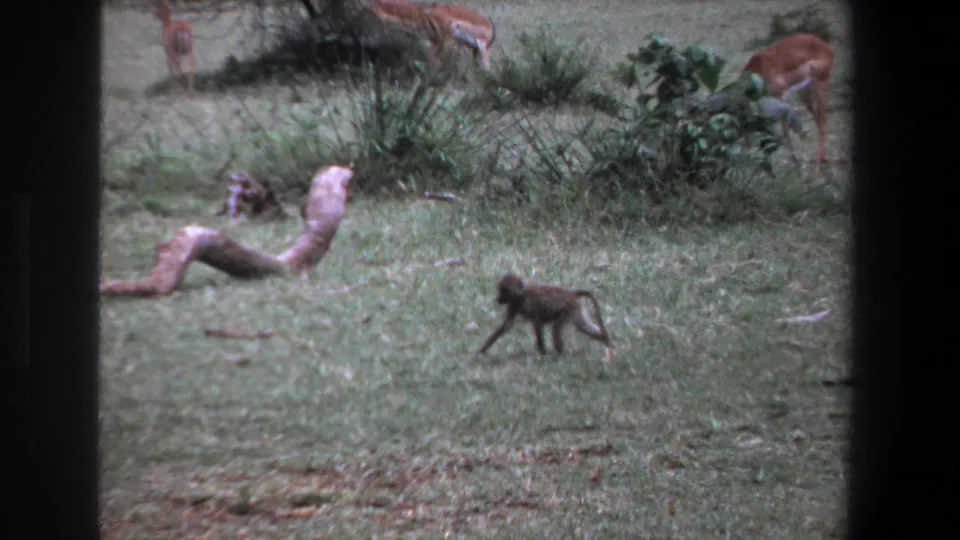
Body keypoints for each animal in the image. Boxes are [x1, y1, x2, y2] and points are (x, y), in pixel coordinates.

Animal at [474, 273, 614, 360]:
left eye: (504, 290)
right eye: (500, 289)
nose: (498, 298)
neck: (521, 294)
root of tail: (571, 293)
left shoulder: (526, 305)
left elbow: (537, 324)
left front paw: (543, 353)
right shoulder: (513, 305)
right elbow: (506, 325)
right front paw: (482, 350)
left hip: (566, 310)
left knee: (556, 330)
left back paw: (560, 356)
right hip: (575, 310)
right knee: (582, 326)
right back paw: (606, 342)